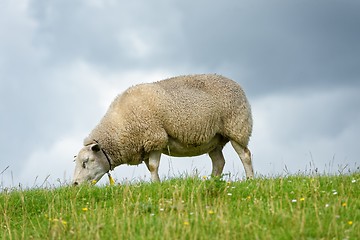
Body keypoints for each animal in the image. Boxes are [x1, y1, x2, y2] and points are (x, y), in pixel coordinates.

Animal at [72, 74, 253, 185]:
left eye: (85, 162)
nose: (74, 184)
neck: (119, 126)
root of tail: (235, 83)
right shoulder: (144, 146)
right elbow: (150, 167)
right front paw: (155, 183)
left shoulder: (155, 138)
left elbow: (153, 167)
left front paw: (156, 185)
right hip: (214, 139)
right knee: (219, 162)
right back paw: (212, 181)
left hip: (237, 127)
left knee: (245, 155)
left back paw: (250, 180)